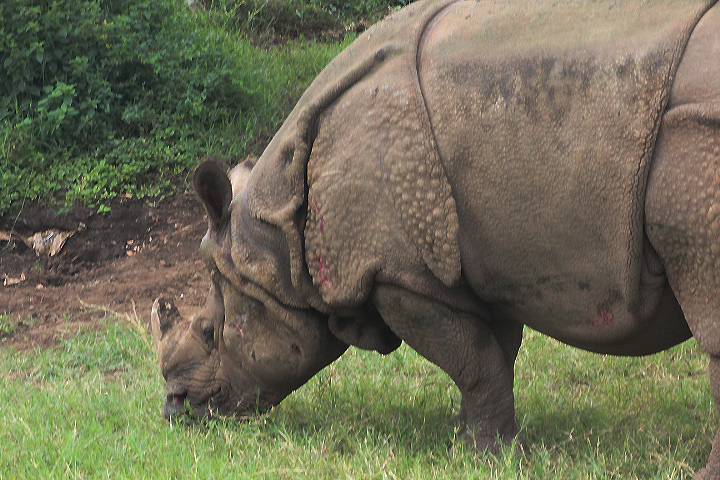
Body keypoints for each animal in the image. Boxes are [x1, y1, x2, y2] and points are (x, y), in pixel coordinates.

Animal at [151, 0, 720, 476]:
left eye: (210, 331)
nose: (175, 409)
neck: (277, 239)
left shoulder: (400, 274)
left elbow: (473, 362)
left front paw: (486, 457)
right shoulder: (474, 266)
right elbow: (492, 357)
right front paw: (475, 444)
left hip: (695, 143)